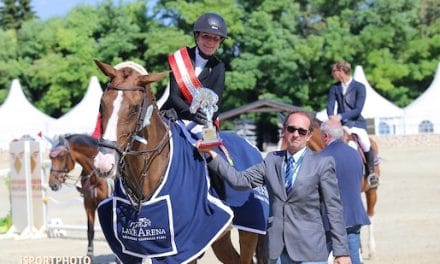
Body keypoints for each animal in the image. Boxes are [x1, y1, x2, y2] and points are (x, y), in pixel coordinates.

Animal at [92, 60, 266, 262]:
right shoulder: (135, 251)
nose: (103, 163)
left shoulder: (186, 248)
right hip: (220, 238)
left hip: (249, 232)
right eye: (102, 105)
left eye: (135, 108)